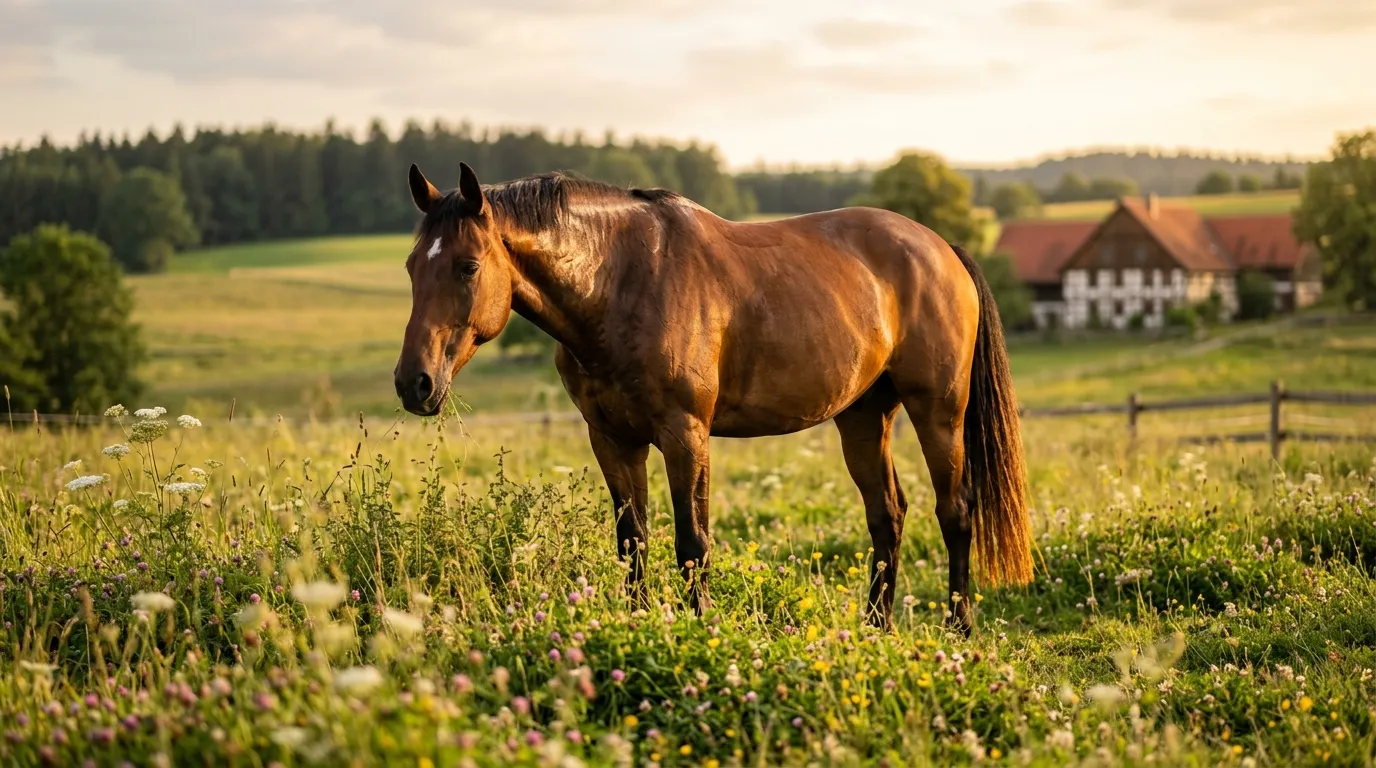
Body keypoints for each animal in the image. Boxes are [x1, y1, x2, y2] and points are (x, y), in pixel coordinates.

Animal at [393, 162, 1033, 633]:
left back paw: (959, 629)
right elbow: (633, 542)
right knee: (887, 516)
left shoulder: (685, 434)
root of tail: (941, 248)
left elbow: (692, 544)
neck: (621, 283)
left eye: (467, 266)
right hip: (862, 415)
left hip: (939, 411)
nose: (413, 383)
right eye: (411, 266)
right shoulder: (613, 439)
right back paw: (876, 628)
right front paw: (640, 627)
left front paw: (700, 631)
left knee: (955, 511)